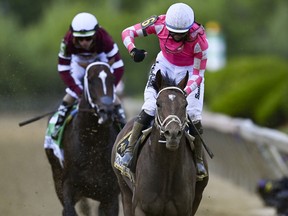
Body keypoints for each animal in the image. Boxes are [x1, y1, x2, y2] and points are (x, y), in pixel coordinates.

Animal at [45, 61, 120, 215]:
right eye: (90, 81)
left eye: (112, 79)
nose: (107, 112)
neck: (92, 143)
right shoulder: (68, 186)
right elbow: (68, 210)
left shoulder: (111, 195)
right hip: (56, 174)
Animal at [111, 70, 208, 214]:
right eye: (158, 103)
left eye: (185, 104)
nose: (172, 133)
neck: (167, 168)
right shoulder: (140, 207)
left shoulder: (185, 209)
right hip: (124, 188)